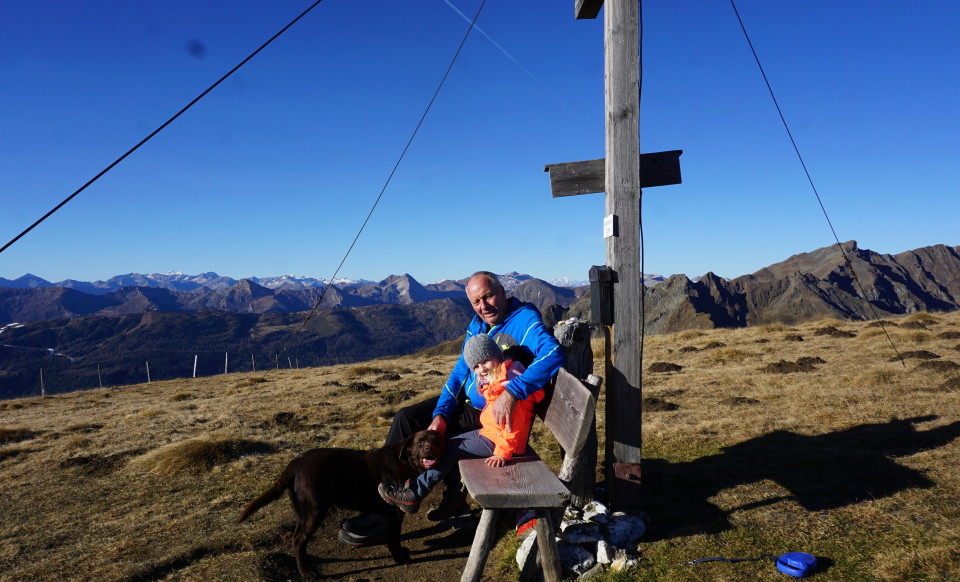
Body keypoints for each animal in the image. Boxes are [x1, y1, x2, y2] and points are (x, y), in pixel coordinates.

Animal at [244, 432, 446, 576]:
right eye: (420, 442)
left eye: (436, 440)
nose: (428, 448)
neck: (405, 461)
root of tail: (294, 464)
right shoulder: (395, 513)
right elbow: (393, 538)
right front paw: (399, 557)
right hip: (315, 511)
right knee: (299, 539)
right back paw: (305, 572)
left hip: (304, 513)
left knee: (298, 539)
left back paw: (306, 561)